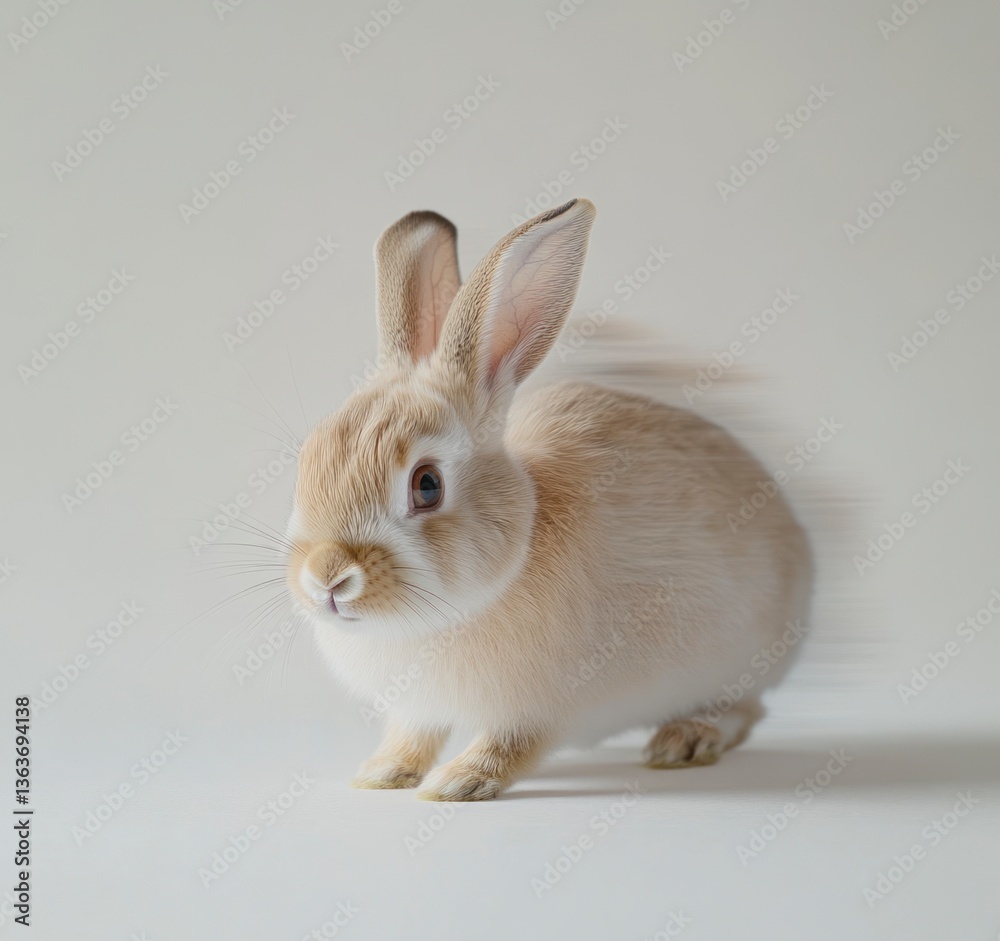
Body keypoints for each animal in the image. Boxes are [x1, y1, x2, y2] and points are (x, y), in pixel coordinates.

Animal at [285, 198, 813, 801]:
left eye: (427, 484)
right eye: (305, 463)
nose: (326, 576)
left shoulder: (538, 708)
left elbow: (509, 744)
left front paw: (458, 782)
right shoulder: (419, 710)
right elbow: (412, 734)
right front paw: (382, 773)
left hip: (736, 663)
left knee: (744, 711)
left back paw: (684, 740)